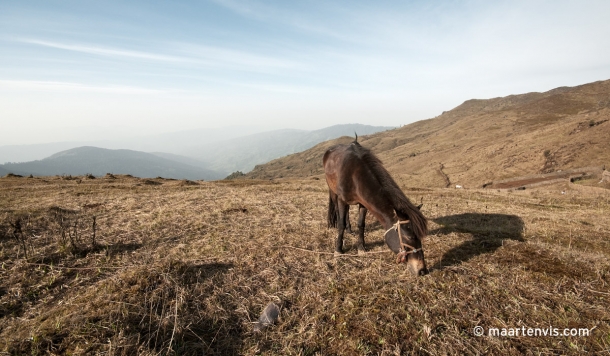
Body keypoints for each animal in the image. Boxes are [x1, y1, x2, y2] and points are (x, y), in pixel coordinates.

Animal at [324, 137, 428, 276]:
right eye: (410, 237)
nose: (422, 270)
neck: (355, 175)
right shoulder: (341, 200)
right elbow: (340, 224)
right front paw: (338, 250)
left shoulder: (363, 203)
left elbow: (361, 225)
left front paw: (361, 248)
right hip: (333, 192)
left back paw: (349, 229)